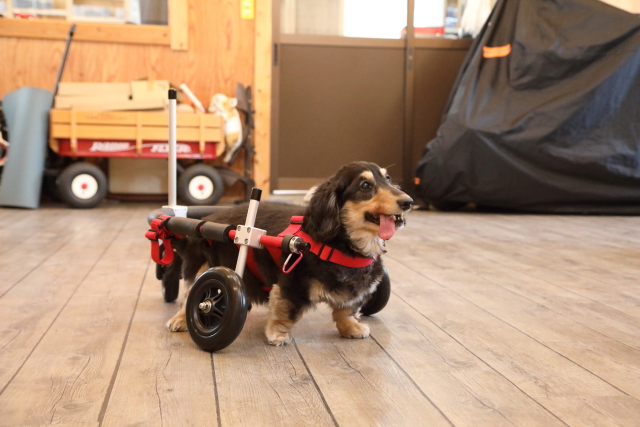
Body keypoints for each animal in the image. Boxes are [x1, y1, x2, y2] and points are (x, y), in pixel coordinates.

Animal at [168, 162, 412, 346]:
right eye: (365, 185)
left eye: (388, 178)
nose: (408, 202)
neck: (341, 246)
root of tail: (207, 219)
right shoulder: (291, 284)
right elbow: (285, 311)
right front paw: (277, 334)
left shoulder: (354, 290)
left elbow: (346, 310)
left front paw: (351, 327)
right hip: (202, 266)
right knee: (191, 294)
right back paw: (180, 320)